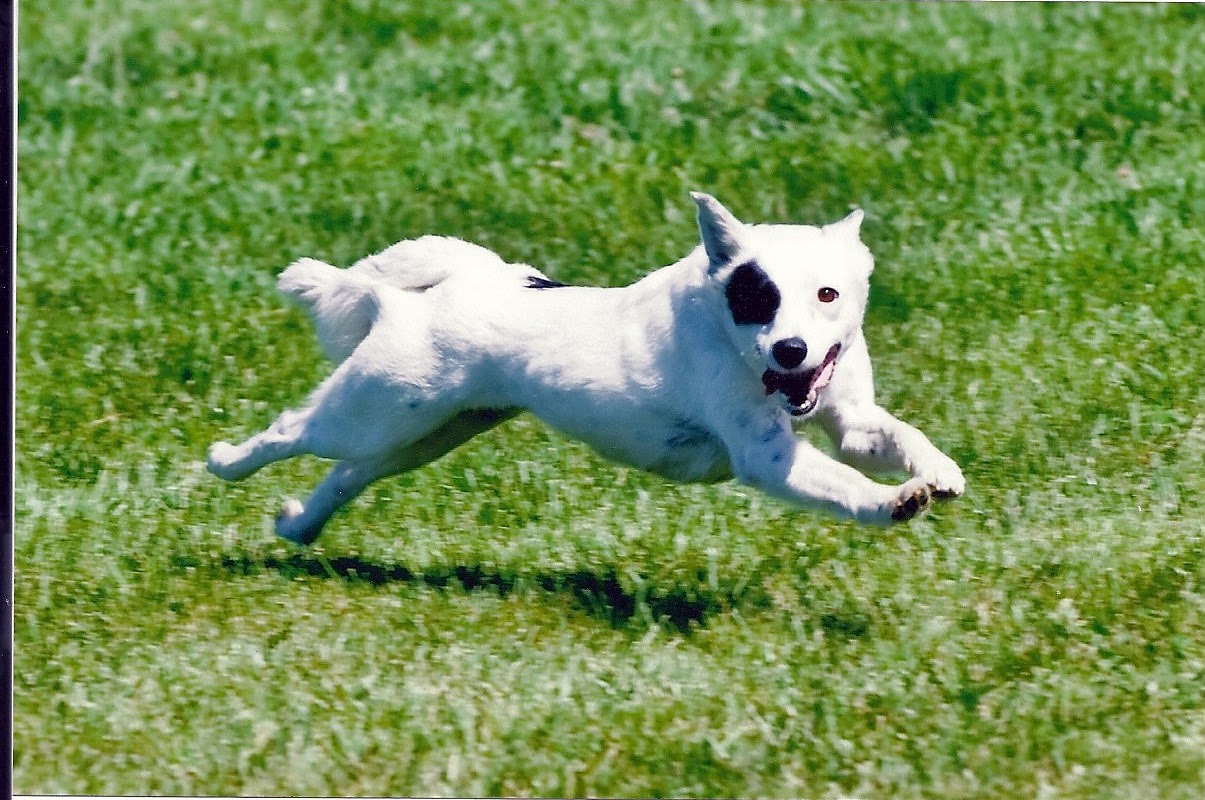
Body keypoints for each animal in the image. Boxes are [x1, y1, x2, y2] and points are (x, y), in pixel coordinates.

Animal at [204, 193, 959, 544]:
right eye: (758, 297)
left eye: (827, 295)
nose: (790, 352)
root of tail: (449, 285)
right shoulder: (767, 457)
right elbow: (844, 484)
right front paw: (891, 502)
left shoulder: (851, 420)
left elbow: (895, 436)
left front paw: (938, 473)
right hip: (378, 408)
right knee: (293, 431)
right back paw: (226, 462)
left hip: (427, 430)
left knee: (348, 475)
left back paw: (299, 525)